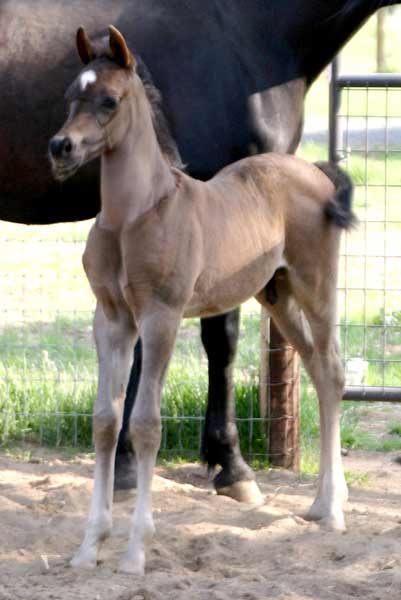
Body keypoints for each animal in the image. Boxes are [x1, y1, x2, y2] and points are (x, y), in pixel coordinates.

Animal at [49, 25, 354, 576]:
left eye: (109, 100)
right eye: (69, 97)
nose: (60, 148)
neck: (134, 215)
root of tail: (320, 173)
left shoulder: (161, 317)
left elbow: (146, 424)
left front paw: (135, 552)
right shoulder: (111, 319)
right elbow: (105, 420)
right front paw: (89, 547)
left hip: (316, 285)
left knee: (335, 371)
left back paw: (335, 510)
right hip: (276, 292)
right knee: (319, 371)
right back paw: (321, 505)